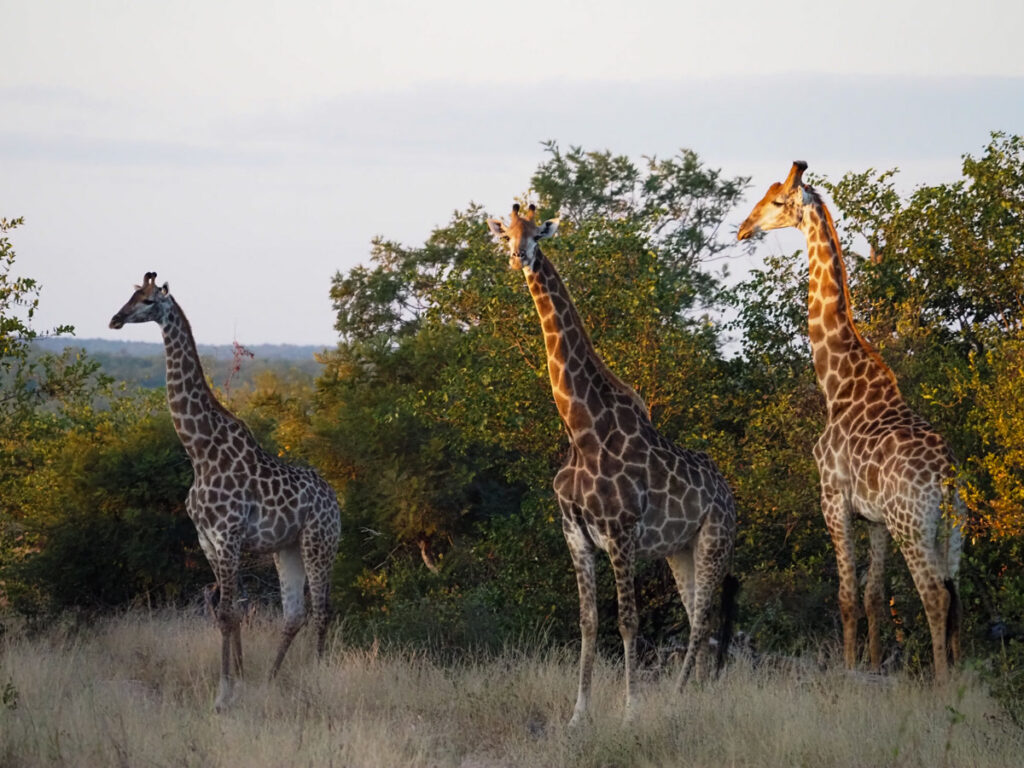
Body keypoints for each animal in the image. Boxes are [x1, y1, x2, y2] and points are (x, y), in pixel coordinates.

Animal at [108, 274, 342, 712]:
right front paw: (240, 682)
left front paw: (224, 694)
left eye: (147, 300)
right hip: (286, 548)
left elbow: (229, 612)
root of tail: (336, 501)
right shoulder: (208, 540)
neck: (199, 451)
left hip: (320, 542)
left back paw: (318, 677)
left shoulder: (229, 536)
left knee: (322, 610)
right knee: (294, 614)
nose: (115, 319)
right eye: (129, 295)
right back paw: (272, 678)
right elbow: (226, 613)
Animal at [487, 201, 737, 724]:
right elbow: (588, 622)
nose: (519, 258)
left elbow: (627, 622)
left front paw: (630, 711)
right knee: (696, 618)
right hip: (679, 550)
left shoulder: (621, 534)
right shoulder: (575, 535)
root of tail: (728, 493)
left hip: (715, 539)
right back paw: (696, 700)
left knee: (701, 620)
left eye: (537, 234)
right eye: (507, 234)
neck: (582, 430)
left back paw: (678, 699)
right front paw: (578, 715)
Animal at [737, 162, 958, 679]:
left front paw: (851, 668)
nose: (744, 229)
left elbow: (845, 597)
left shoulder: (833, 499)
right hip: (950, 530)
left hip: (912, 524)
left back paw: (944, 684)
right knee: (955, 595)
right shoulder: (873, 518)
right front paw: (875, 667)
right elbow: (875, 596)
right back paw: (962, 672)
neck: (837, 385)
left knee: (935, 595)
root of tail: (946, 481)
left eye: (777, 202)